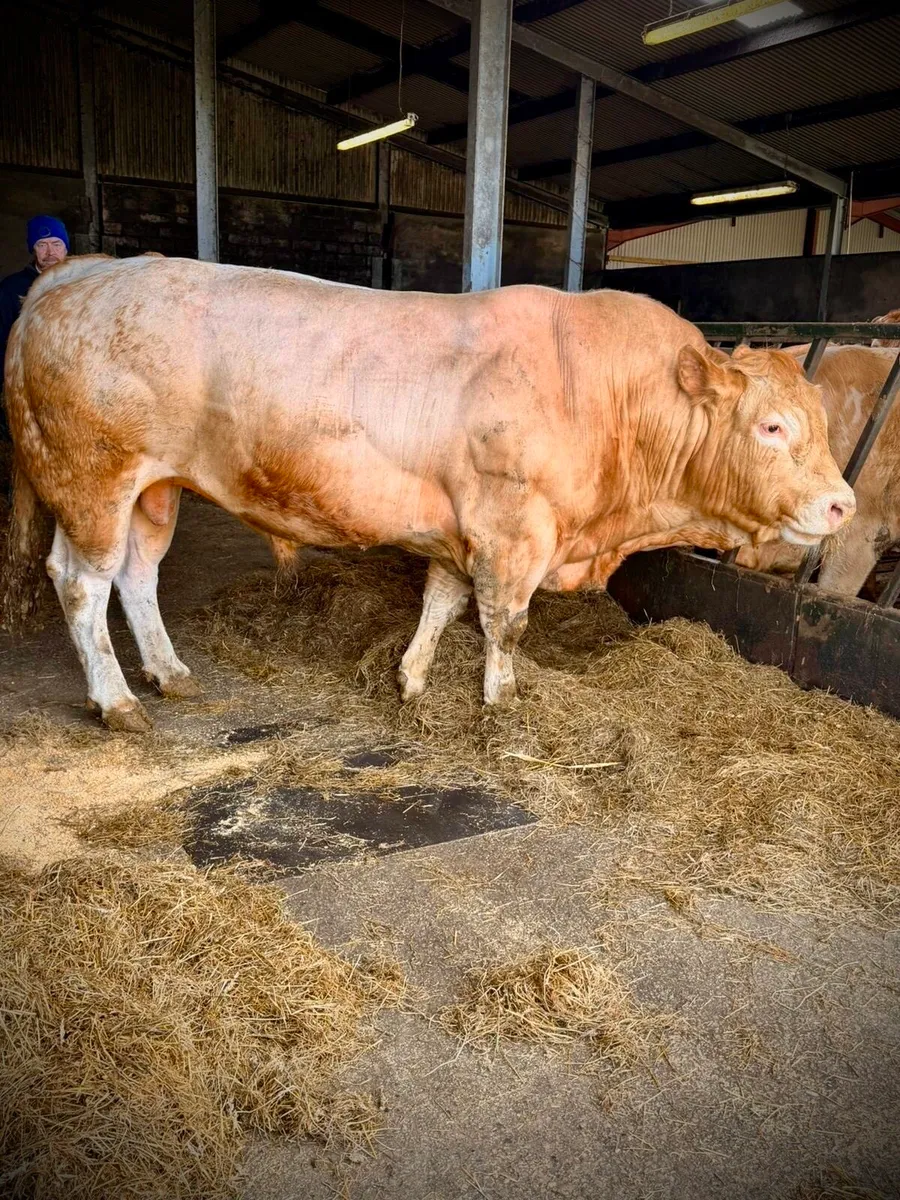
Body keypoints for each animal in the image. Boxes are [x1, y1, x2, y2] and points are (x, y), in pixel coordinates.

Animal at [1, 255, 854, 731]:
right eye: (773, 426)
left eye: (821, 420)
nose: (843, 504)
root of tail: (75, 274)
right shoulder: (515, 530)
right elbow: (504, 624)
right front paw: (501, 704)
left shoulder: (464, 527)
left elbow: (441, 602)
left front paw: (410, 681)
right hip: (92, 479)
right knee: (81, 583)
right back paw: (117, 702)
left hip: (156, 488)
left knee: (137, 575)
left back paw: (169, 672)